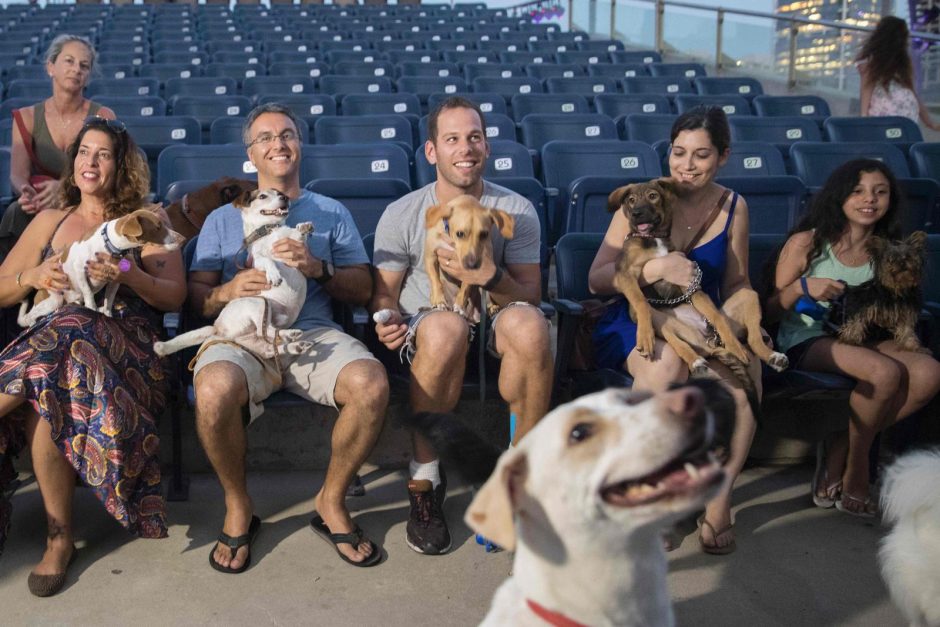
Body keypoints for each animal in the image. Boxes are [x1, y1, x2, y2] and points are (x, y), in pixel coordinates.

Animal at [17, 209, 184, 328]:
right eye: (158, 227)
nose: (182, 239)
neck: (109, 244)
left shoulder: (115, 281)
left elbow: (109, 301)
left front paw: (108, 315)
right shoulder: (80, 270)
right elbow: (89, 293)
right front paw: (92, 308)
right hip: (54, 300)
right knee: (30, 316)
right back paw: (32, 322)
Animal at [155, 188, 316, 358]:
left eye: (279, 193)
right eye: (262, 196)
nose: (284, 197)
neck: (269, 231)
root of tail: (217, 327)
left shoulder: (293, 246)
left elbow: (297, 237)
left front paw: (304, 228)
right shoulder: (257, 260)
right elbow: (267, 260)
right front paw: (274, 275)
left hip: (259, 335)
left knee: (270, 345)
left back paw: (296, 345)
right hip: (259, 303)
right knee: (266, 330)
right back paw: (291, 336)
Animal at [608, 179, 784, 380]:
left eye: (653, 196)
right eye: (631, 200)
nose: (636, 213)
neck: (653, 238)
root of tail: (707, 343)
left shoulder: (690, 284)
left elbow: (717, 316)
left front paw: (735, 345)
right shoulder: (625, 273)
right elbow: (640, 301)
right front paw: (645, 336)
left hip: (748, 295)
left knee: (753, 338)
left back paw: (772, 356)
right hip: (661, 322)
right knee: (675, 340)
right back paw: (695, 361)